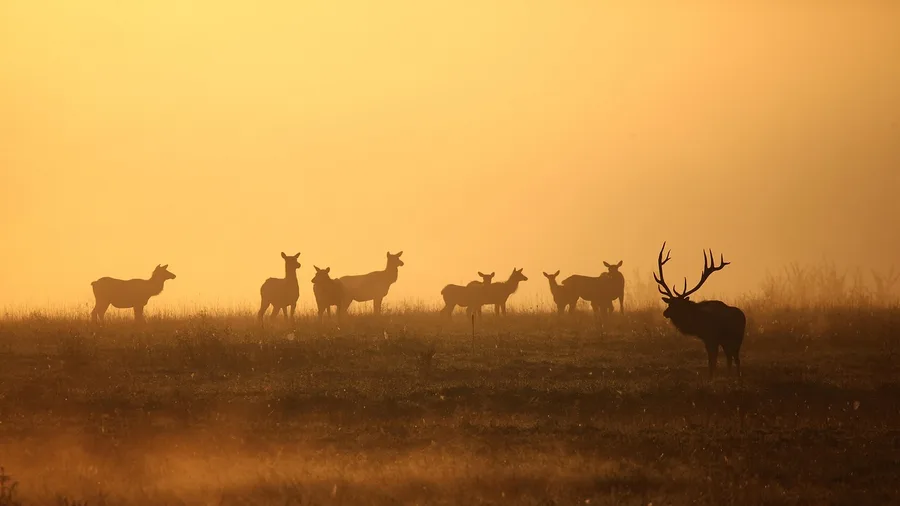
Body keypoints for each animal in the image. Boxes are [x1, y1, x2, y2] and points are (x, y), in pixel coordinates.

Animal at [653, 242, 746, 378]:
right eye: (670, 303)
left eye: (678, 305)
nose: (665, 313)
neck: (697, 323)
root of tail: (743, 317)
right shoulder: (710, 340)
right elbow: (712, 360)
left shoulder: (711, 337)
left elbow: (712, 361)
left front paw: (711, 378)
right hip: (729, 340)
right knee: (731, 358)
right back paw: (732, 378)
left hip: (736, 337)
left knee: (735, 358)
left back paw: (737, 379)